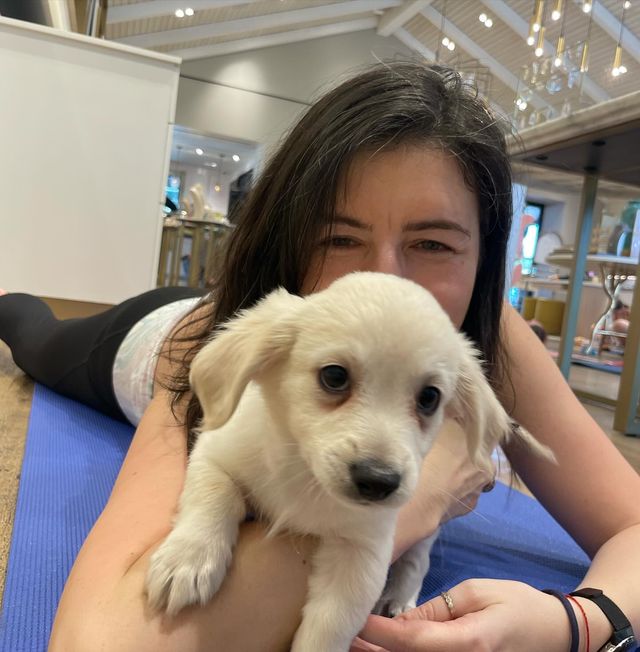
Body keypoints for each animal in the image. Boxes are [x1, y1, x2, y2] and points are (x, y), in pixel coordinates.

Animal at [145, 272, 552, 652]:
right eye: (335, 376)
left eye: (430, 398)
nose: (378, 481)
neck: (304, 475)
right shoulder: (213, 455)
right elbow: (214, 495)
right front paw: (188, 560)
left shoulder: (363, 552)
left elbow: (329, 627)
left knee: (418, 558)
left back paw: (400, 595)